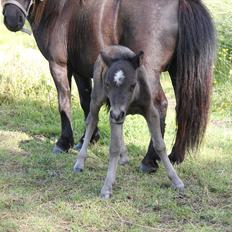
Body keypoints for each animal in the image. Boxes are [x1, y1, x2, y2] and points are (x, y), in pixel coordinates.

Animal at [73, 46, 184, 198]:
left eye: (132, 85)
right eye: (107, 84)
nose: (117, 114)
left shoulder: (150, 111)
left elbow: (160, 145)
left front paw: (176, 180)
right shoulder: (113, 112)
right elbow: (113, 148)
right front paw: (107, 187)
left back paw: (124, 157)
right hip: (98, 99)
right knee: (92, 120)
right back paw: (80, 163)